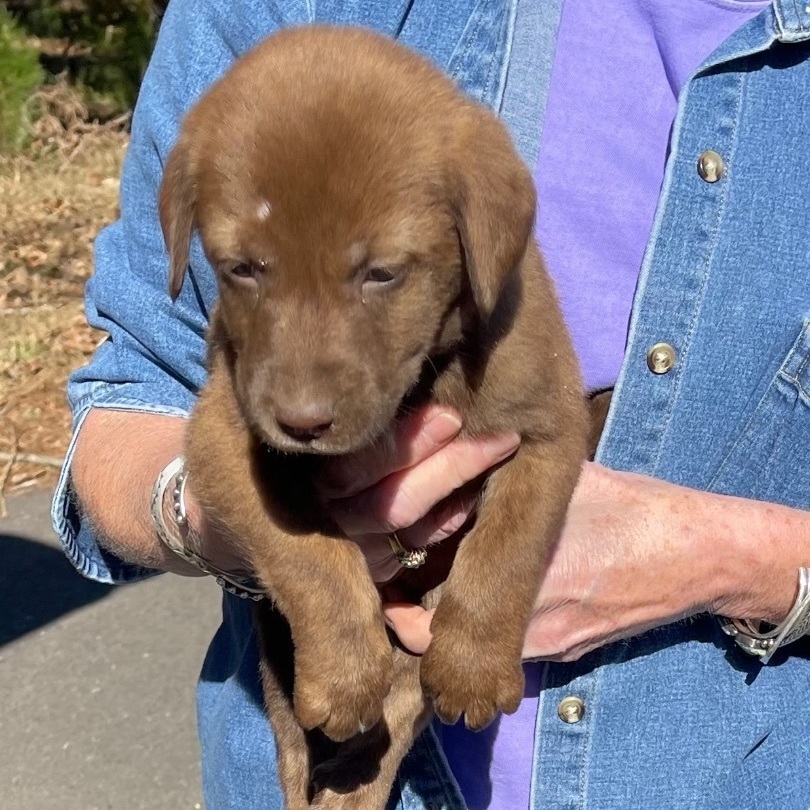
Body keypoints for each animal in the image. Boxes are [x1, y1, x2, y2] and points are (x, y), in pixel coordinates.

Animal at [159, 25, 588, 808]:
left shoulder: (548, 425)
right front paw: (344, 674)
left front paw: (473, 668)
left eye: (381, 273)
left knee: (394, 722)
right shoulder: (221, 435)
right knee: (304, 753)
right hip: (278, 675)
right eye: (243, 269)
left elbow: (506, 548)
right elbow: (308, 551)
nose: (300, 423)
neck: (420, 386)